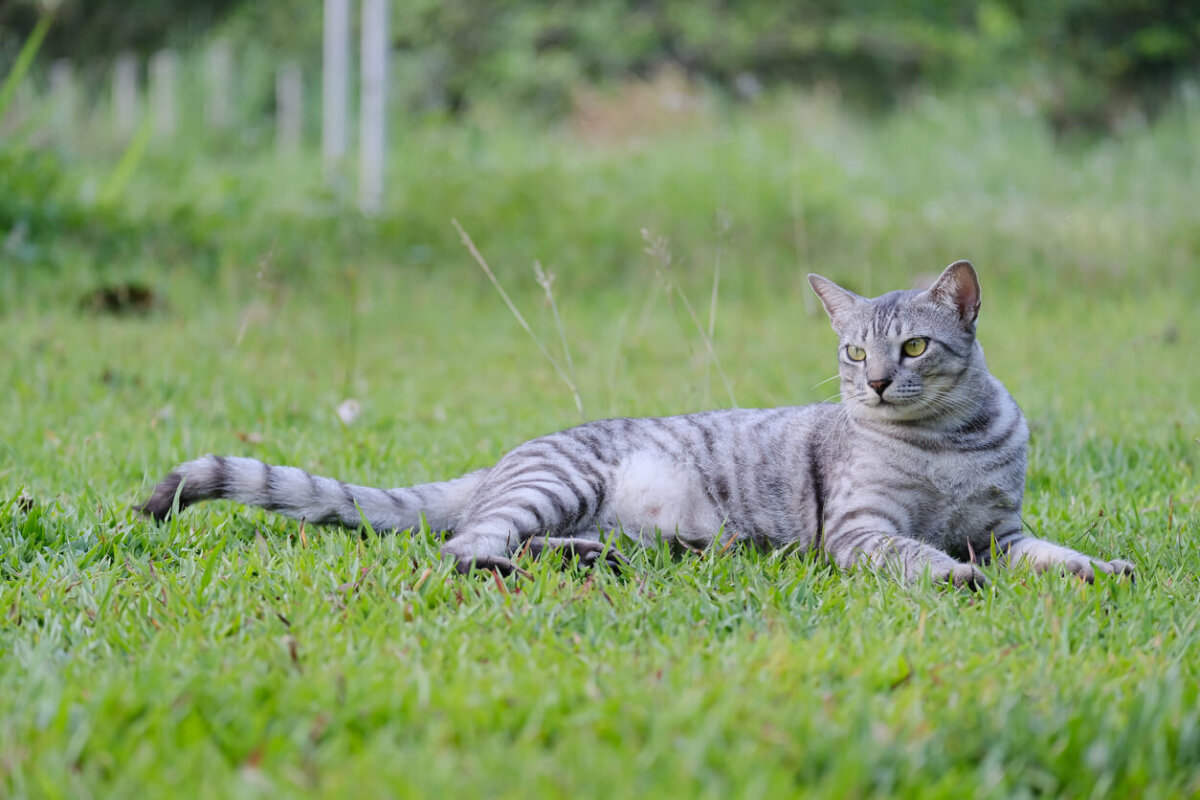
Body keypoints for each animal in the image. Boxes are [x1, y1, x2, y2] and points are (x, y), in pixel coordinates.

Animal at [138, 262, 1132, 587]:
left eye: (916, 347)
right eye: (855, 354)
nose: (880, 384)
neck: (948, 444)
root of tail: (501, 458)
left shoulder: (1003, 531)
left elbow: (1055, 555)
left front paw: (1100, 568)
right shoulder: (862, 531)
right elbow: (918, 556)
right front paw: (955, 580)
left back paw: (602, 560)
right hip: (560, 482)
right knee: (464, 547)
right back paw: (526, 570)